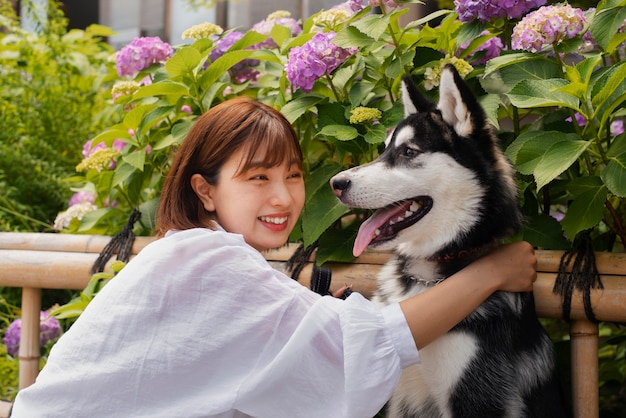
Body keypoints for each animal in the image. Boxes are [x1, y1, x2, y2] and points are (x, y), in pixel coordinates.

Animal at [330, 63, 568, 416]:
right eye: (383, 149)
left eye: (408, 151)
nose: (336, 183)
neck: (426, 280)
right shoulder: (400, 399)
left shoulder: (475, 397)